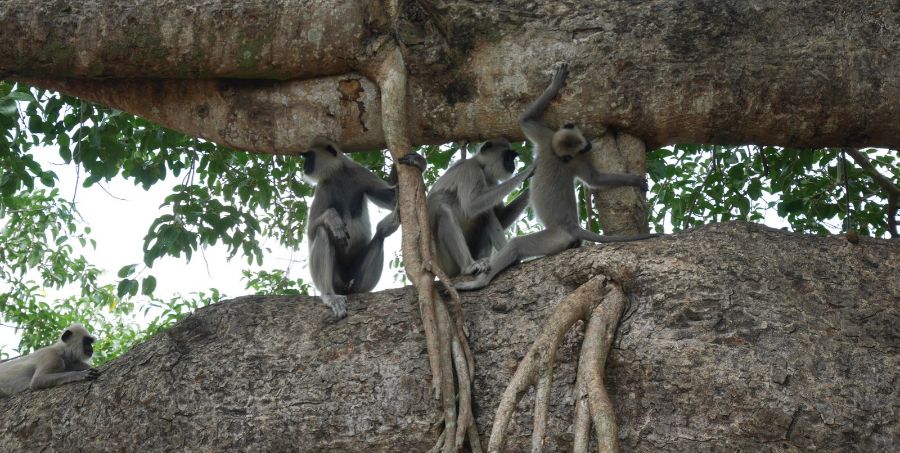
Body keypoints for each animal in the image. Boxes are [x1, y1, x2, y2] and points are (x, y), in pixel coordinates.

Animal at [302, 138, 425, 318]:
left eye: (309, 156)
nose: (304, 166)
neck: (338, 173)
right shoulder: (323, 187)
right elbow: (311, 231)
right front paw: (333, 218)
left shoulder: (359, 172)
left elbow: (394, 199)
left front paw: (418, 162)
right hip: (336, 279)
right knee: (322, 231)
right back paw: (329, 295)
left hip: (357, 278)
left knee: (380, 236)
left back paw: (388, 225)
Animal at [427, 138, 534, 277]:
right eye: (508, 156)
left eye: (512, 157)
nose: (513, 164)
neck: (483, 169)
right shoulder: (470, 169)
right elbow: (471, 205)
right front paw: (530, 170)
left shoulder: (492, 181)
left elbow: (500, 216)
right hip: (445, 262)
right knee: (445, 210)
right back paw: (469, 267)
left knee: (486, 213)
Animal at [456, 63, 657, 291]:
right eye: (582, 145)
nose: (589, 145)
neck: (554, 151)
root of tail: (571, 227)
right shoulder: (552, 141)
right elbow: (526, 120)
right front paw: (555, 85)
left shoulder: (558, 146)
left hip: (553, 238)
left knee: (516, 245)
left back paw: (481, 281)